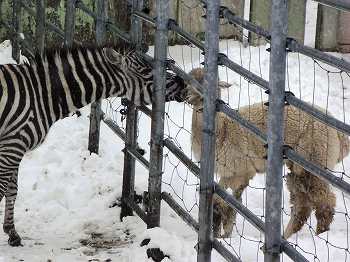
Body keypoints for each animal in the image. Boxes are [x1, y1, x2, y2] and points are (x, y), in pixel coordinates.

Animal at [0, 44, 186, 246]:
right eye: (146, 71)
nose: (183, 83)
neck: (41, 95)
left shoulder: (15, 147)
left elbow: (12, 190)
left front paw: (12, 233)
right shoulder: (12, 146)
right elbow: (3, 189)